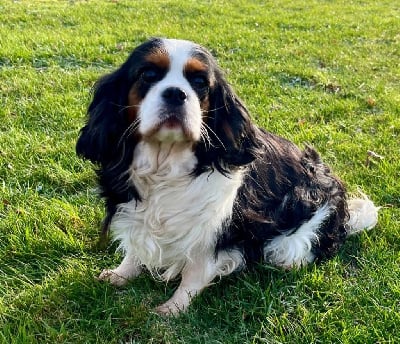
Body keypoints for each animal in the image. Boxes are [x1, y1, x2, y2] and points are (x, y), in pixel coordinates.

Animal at [76, 37, 380, 314]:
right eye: (148, 75)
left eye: (200, 82)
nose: (175, 93)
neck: (166, 162)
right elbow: (136, 245)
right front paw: (122, 273)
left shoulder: (216, 229)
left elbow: (194, 273)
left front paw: (173, 308)